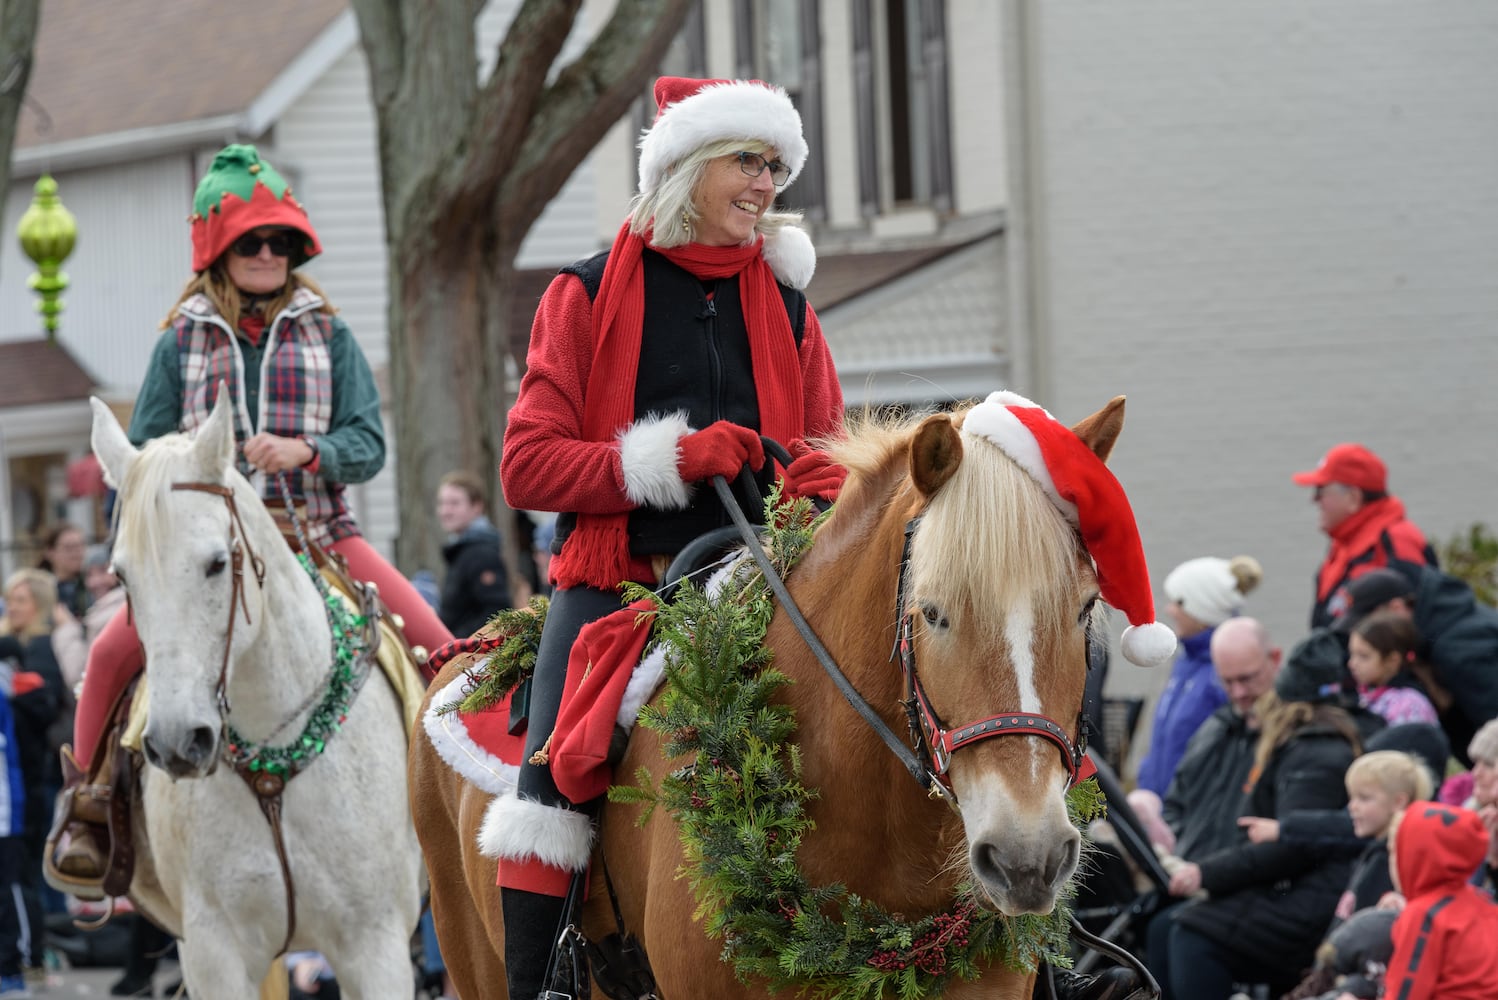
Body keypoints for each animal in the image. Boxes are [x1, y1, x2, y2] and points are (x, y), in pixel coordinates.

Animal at [91, 392, 425, 999]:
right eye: (121, 577)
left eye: (217, 563)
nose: (178, 743)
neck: (275, 762)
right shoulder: (213, 952)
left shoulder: (376, 947)